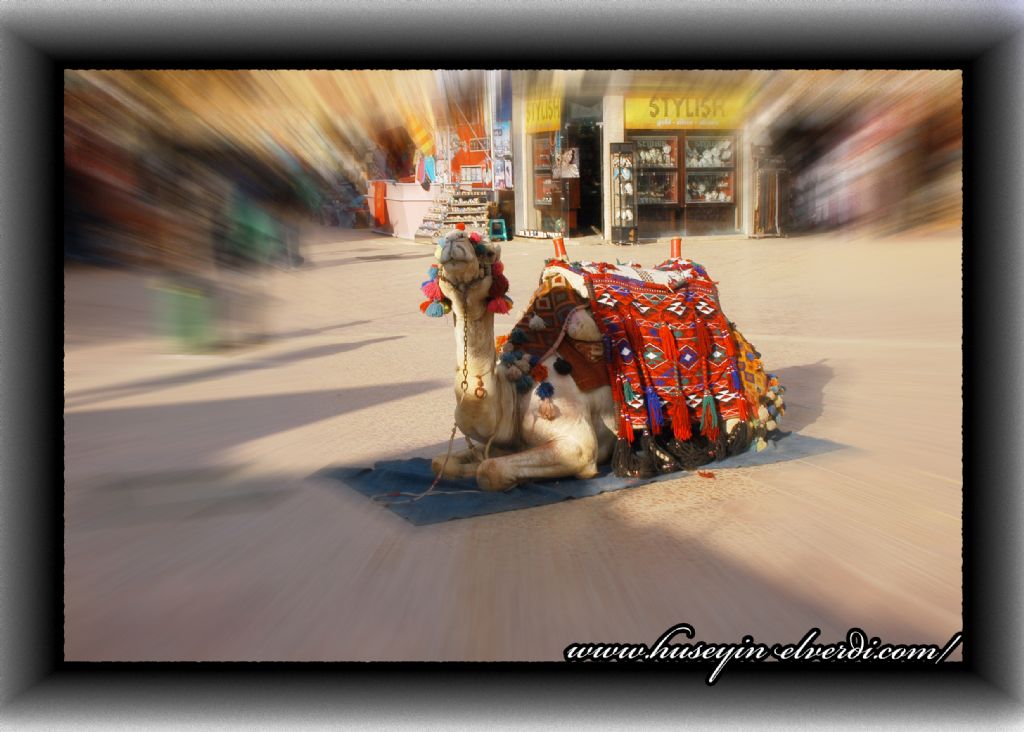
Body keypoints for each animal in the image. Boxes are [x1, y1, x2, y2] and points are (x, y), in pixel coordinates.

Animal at [423, 229, 782, 493]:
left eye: (485, 250)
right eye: (438, 248)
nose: (454, 241)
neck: (511, 393)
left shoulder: (575, 442)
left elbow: (490, 470)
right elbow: (441, 462)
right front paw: (461, 468)